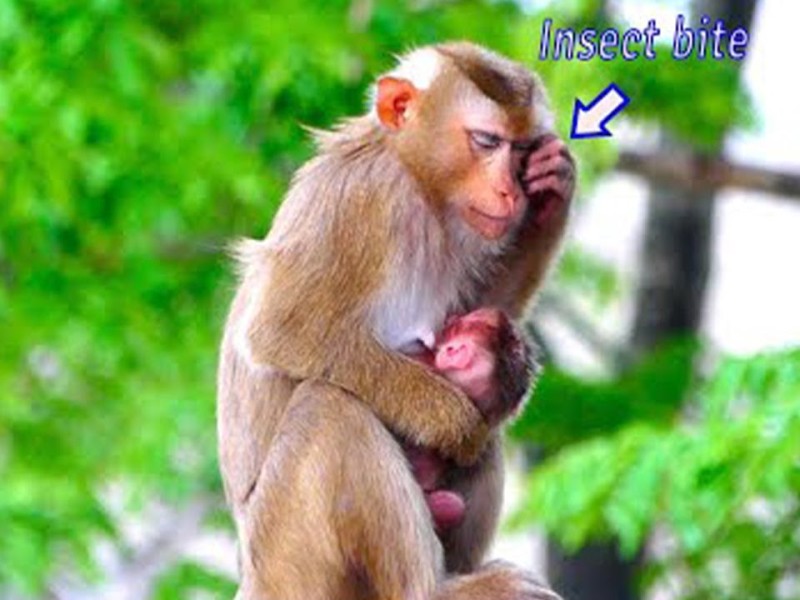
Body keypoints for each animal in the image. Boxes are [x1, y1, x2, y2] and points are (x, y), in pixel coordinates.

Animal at [217, 41, 575, 600]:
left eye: (521, 152)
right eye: (486, 142)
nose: (512, 192)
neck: (420, 186)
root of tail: (250, 577)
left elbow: (486, 310)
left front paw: (553, 189)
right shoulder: (361, 200)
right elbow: (282, 331)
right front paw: (449, 419)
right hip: (286, 555)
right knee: (329, 407)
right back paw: (434, 589)